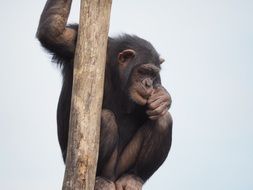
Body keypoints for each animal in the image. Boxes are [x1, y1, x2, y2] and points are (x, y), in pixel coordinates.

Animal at [36, 0, 173, 190]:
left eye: (152, 74)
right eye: (143, 71)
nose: (148, 84)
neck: (116, 72)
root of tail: (115, 178)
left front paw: (163, 98)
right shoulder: (73, 42)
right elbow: (53, 32)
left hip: (123, 167)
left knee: (163, 120)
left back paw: (133, 178)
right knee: (106, 119)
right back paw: (100, 179)